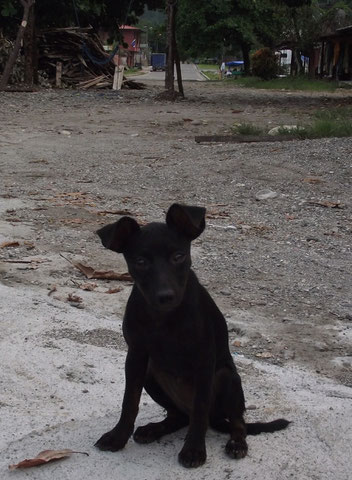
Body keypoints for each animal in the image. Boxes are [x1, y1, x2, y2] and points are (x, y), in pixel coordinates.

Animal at [95, 204, 290, 466]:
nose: (166, 296)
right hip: (151, 374)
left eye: (178, 257)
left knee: (235, 421)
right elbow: (130, 401)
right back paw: (154, 429)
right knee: (179, 416)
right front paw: (117, 437)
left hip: (227, 378)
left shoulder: (204, 361)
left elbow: (200, 409)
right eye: (140, 261)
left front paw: (194, 449)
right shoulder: (136, 356)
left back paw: (237, 443)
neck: (164, 317)